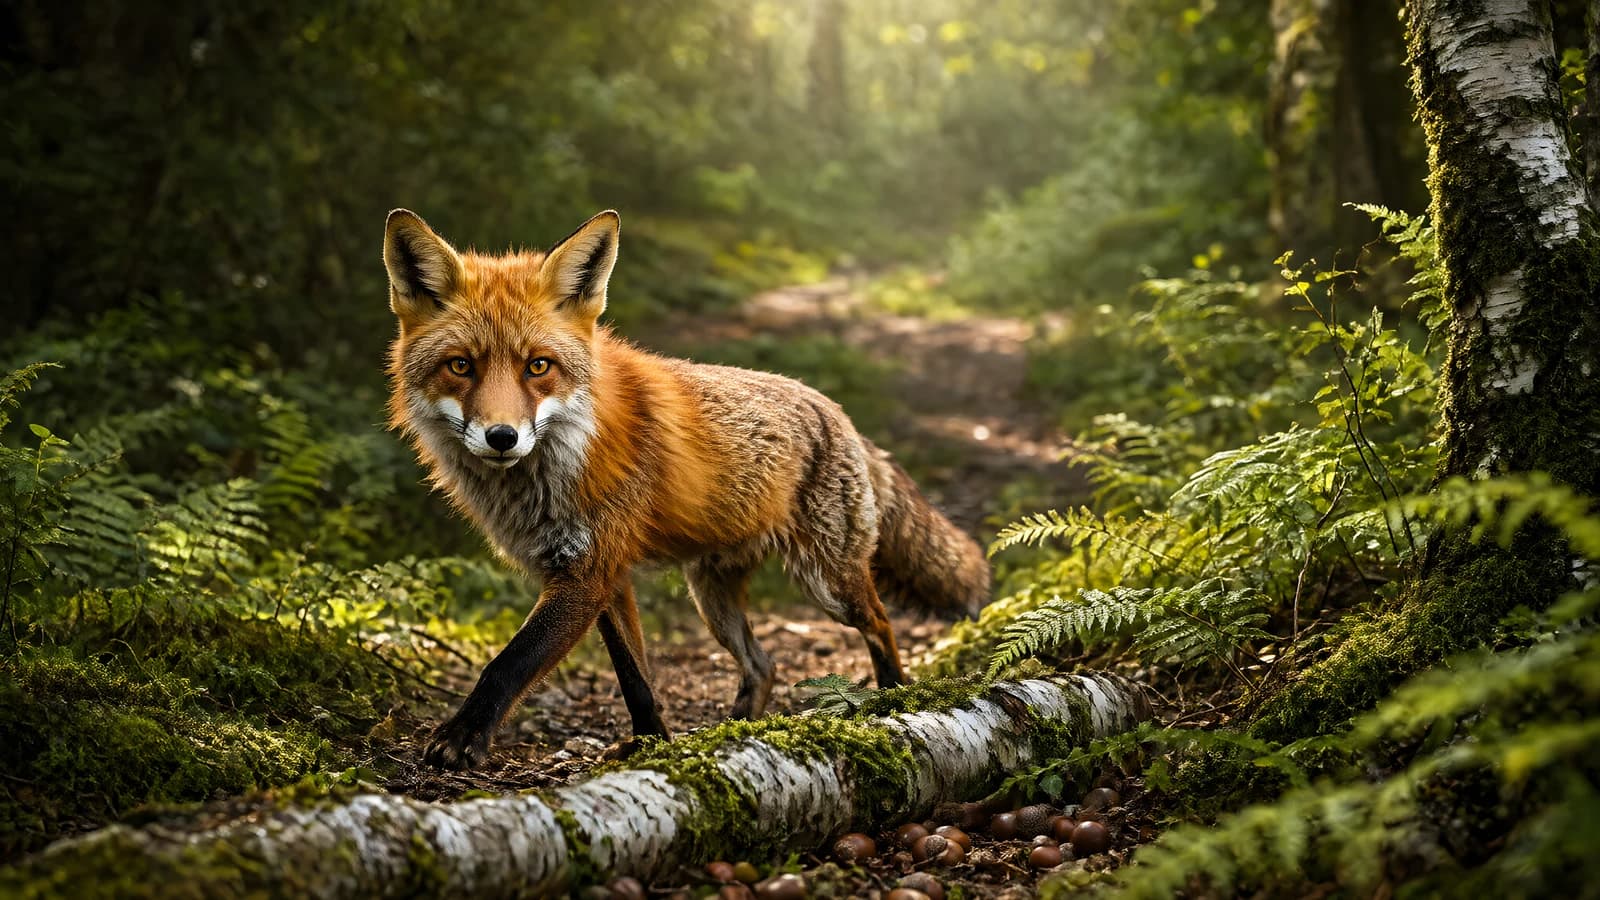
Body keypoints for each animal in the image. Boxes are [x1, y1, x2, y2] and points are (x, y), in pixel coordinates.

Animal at [383, 208, 992, 770]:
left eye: (538, 366)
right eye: (460, 366)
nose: (502, 437)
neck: (566, 455)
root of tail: (836, 412)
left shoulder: (587, 573)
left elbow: (509, 663)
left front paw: (461, 738)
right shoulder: (601, 574)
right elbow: (635, 680)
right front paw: (653, 745)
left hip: (829, 583)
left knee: (881, 624)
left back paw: (892, 699)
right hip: (712, 597)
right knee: (763, 665)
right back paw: (737, 730)